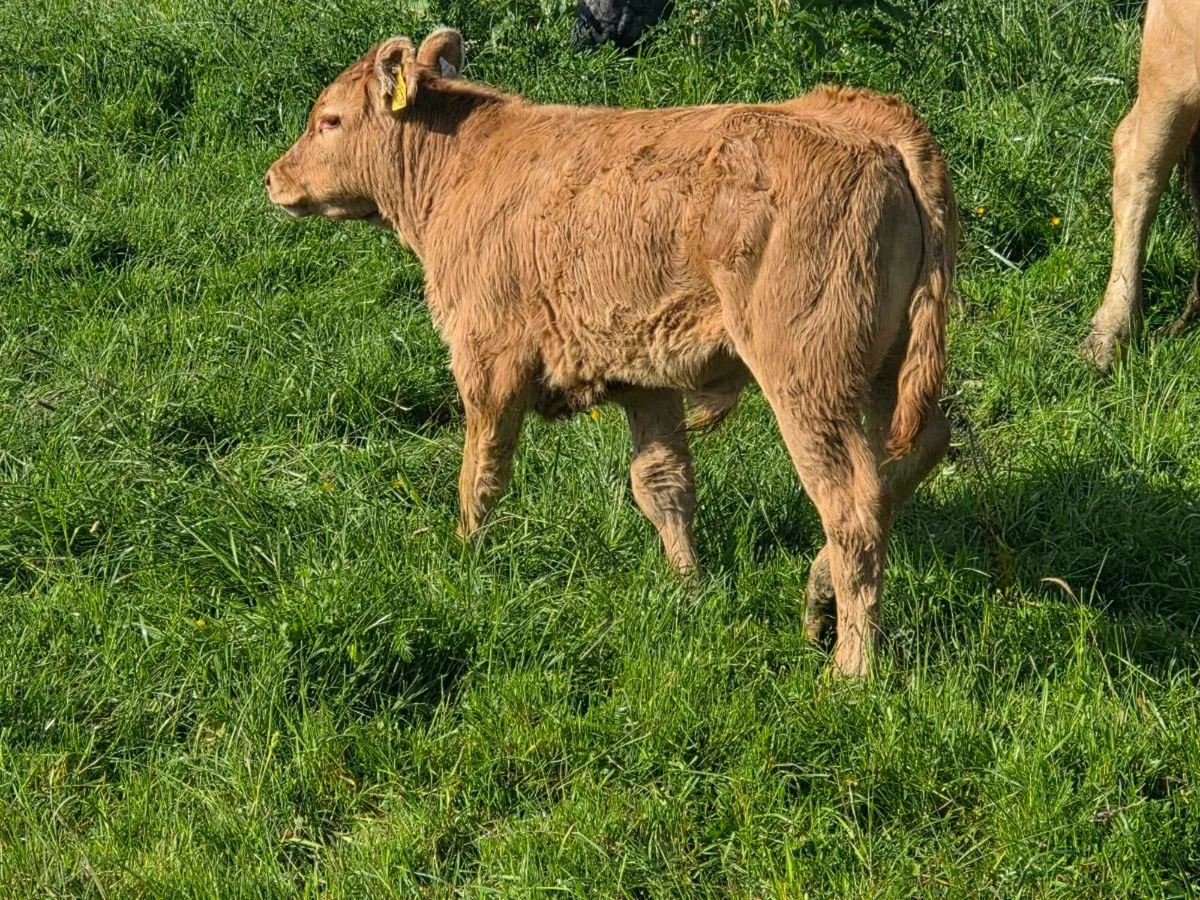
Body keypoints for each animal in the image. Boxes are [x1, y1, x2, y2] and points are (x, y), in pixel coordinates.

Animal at [264, 28, 957, 677]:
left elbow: (480, 476)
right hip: (887, 368)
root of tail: (871, 127)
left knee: (853, 505)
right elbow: (662, 482)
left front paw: (463, 558)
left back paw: (851, 666)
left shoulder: (487, 358)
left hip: (810, 379)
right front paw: (688, 588)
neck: (462, 165)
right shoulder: (646, 377)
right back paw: (819, 593)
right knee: (915, 455)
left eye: (329, 120)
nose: (274, 177)